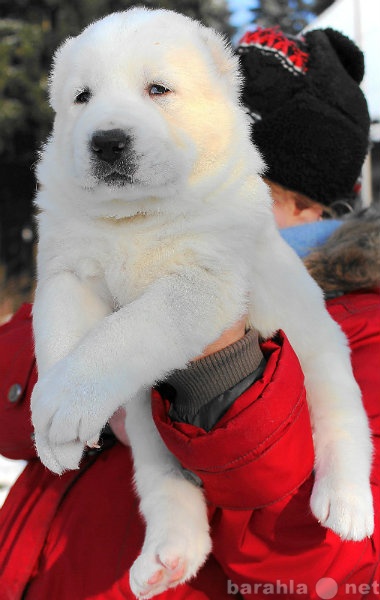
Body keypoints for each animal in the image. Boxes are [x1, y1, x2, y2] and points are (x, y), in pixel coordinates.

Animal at [31, 9, 372, 600]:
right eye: (82, 97)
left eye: (158, 89)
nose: (107, 141)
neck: (136, 218)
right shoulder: (69, 269)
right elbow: (60, 334)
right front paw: (52, 430)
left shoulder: (201, 282)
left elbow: (126, 331)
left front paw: (61, 406)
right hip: (148, 426)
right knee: (168, 485)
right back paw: (166, 559)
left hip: (321, 356)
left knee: (342, 422)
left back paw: (346, 505)